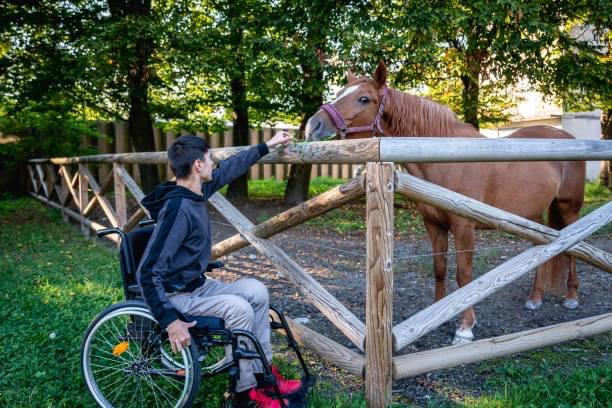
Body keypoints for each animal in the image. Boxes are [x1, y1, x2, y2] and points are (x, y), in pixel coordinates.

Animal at [304, 62, 584, 344]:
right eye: (339, 92)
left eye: (364, 98)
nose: (313, 125)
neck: (446, 156)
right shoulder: (433, 224)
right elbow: (439, 268)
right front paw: (438, 314)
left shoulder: (464, 227)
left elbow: (464, 275)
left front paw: (465, 328)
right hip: (533, 217)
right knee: (544, 250)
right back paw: (535, 298)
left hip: (569, 208)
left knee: (573, 249)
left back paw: (571, 298)